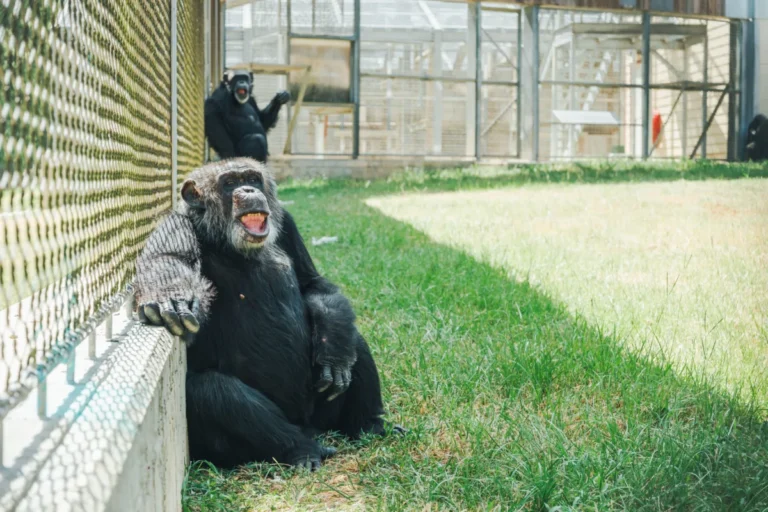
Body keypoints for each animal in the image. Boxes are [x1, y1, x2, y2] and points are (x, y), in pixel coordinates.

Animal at [133, 158, 400, 470]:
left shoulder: (288, 225)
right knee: (214, 392)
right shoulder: (174, 226)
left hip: (324, 414)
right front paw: (171, 300)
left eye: (252, 179)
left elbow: (312, 283)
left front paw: (333, 349)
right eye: (229, 183)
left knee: (353, 340)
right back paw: (302, 450)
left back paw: (369, 425)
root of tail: (308, 426)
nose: (248, 190)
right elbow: (167, 264)